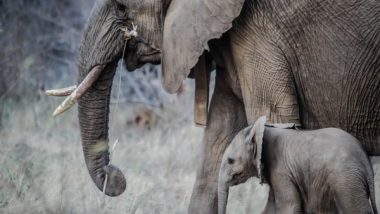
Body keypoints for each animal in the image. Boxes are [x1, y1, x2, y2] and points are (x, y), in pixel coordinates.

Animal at [218, 117, 378, 214]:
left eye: (230, 160)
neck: (260, 130)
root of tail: (365, 159)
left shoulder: (281, 169)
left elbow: (289, 205)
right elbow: (271, 207)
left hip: (346, 179)